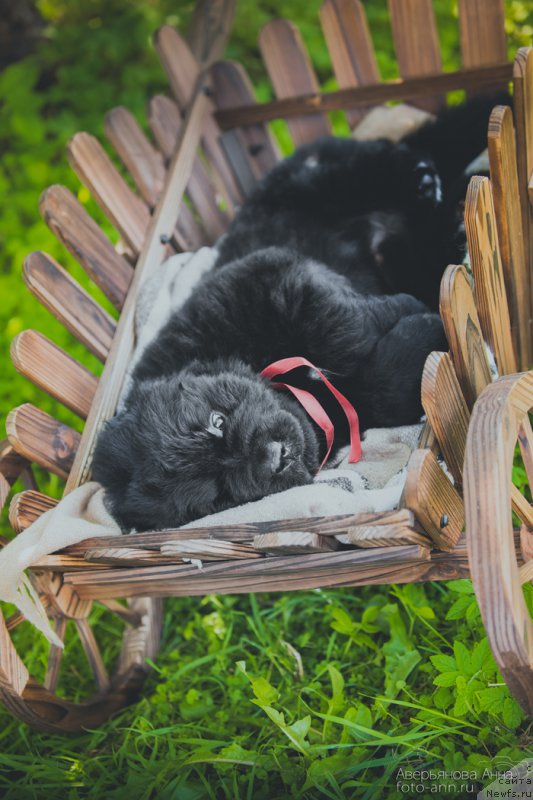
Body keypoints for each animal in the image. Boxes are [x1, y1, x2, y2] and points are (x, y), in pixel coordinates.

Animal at [93, 95, 504, 532]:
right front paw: (419, 331)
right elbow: (375, 391)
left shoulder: (267, 275)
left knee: (390, 159)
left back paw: (426, 182)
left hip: (322, 180)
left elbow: (343, 327)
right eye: (216, 495)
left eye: (216, 422)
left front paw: (406, 311)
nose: (277, 458)